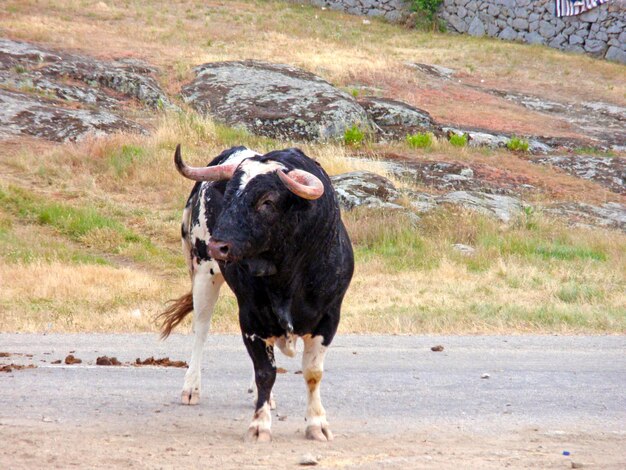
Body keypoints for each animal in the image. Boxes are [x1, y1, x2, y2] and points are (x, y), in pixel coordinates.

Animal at [158, 145, 354, 442]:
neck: (286, 278)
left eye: (267, 202)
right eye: (228, 197)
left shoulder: (328, 318)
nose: (218, 246)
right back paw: (191, 388)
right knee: (201, 331)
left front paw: (317, 424)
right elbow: (265, 372)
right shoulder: (251, 317)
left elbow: (312, 372)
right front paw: (259, 425)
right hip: (203, 274)